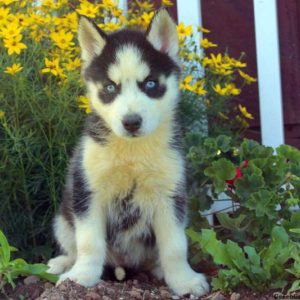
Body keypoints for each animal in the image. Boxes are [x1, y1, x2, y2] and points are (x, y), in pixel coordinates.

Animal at [48, 8, 210, 296]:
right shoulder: (88, 192)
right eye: (110, 87)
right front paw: (81, 276)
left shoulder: (169, 195)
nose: (131, 122)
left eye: (150, 84)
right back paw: (63, 263)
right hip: (63, 217)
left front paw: (184, 280)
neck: (132, 152)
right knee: (72, 245)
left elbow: (175, 247)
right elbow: (89, 243)